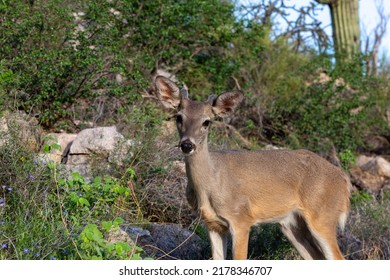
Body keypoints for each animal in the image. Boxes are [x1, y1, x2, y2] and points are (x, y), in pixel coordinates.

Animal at [152, 75, 350, 260]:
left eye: (207, 122)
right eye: (179, 117)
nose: (187, 145)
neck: (212, 183)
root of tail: (344, 180)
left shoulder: (241, 219)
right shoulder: (213, 224)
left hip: (322, 215)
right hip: (292, 225)